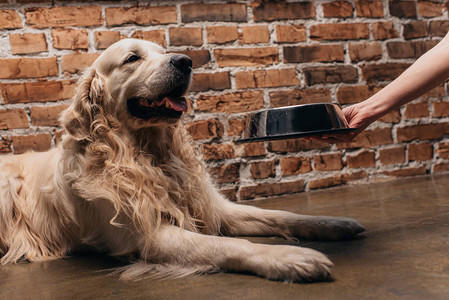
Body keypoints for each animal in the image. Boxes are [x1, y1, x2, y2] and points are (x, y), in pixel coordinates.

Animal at [0, 38, 364, 282]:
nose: (185, 62)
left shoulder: (215, 208)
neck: (150, 154)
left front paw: (332, 224)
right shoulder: (151, 236)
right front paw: (288, 257)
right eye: (132, 58)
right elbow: (228, 246)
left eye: (164, 51)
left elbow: (280, 215)